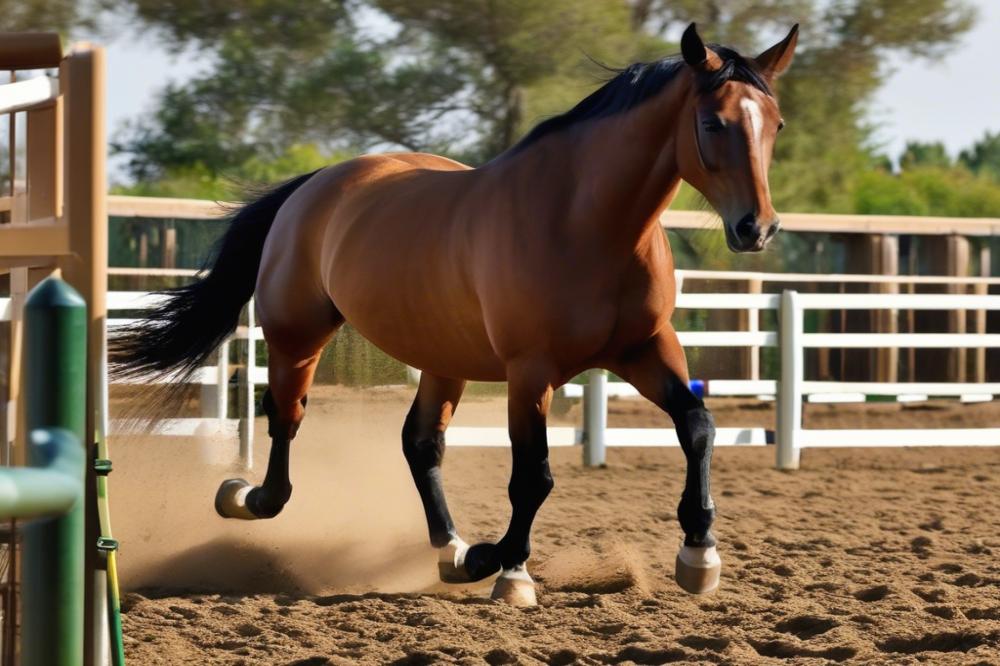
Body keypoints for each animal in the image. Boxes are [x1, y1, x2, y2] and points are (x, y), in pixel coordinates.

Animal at [111, 24, 796, 608]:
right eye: (712, 122)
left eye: (776, 124)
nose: (756, 228)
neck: (584, 222)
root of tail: (318, 183)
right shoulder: (531, 372)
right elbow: (534, 476)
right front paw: (512, 572)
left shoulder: (646, 348)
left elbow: (697, 426)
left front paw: (699, 557)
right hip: (296, 335)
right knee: (285, 423)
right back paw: (246, 498)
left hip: (442, 359)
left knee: (421, 444)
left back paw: (454, 550)